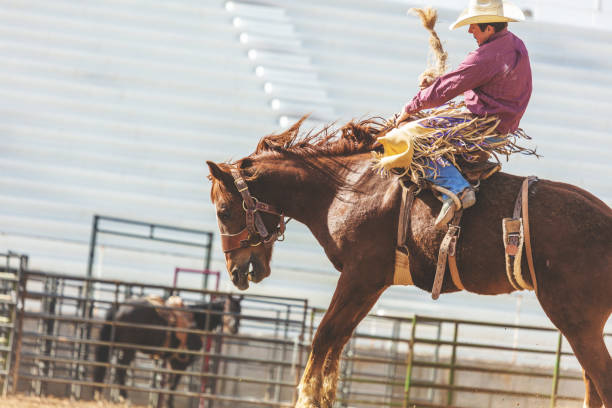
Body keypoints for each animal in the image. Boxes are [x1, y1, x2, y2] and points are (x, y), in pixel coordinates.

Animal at [207, 116, 612, 406]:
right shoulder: (372, 282)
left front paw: (306, 399)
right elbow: (338, 340)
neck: (345, 188)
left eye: (224, 210)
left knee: (601, 381)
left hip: (577, 322)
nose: (237, 272)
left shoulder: (359, 275)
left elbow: (324, 335)